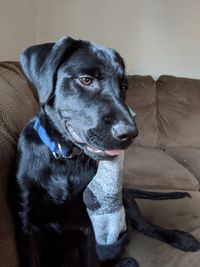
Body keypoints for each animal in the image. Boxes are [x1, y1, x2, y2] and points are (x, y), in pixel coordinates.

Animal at [11, 36, 200, 267]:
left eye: (124, 86)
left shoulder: (88, 225)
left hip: (125, 200)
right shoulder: (27, 226)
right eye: (86, 80)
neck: (64, 159)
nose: (130, 134)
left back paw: (179, 238)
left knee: (143, 226)